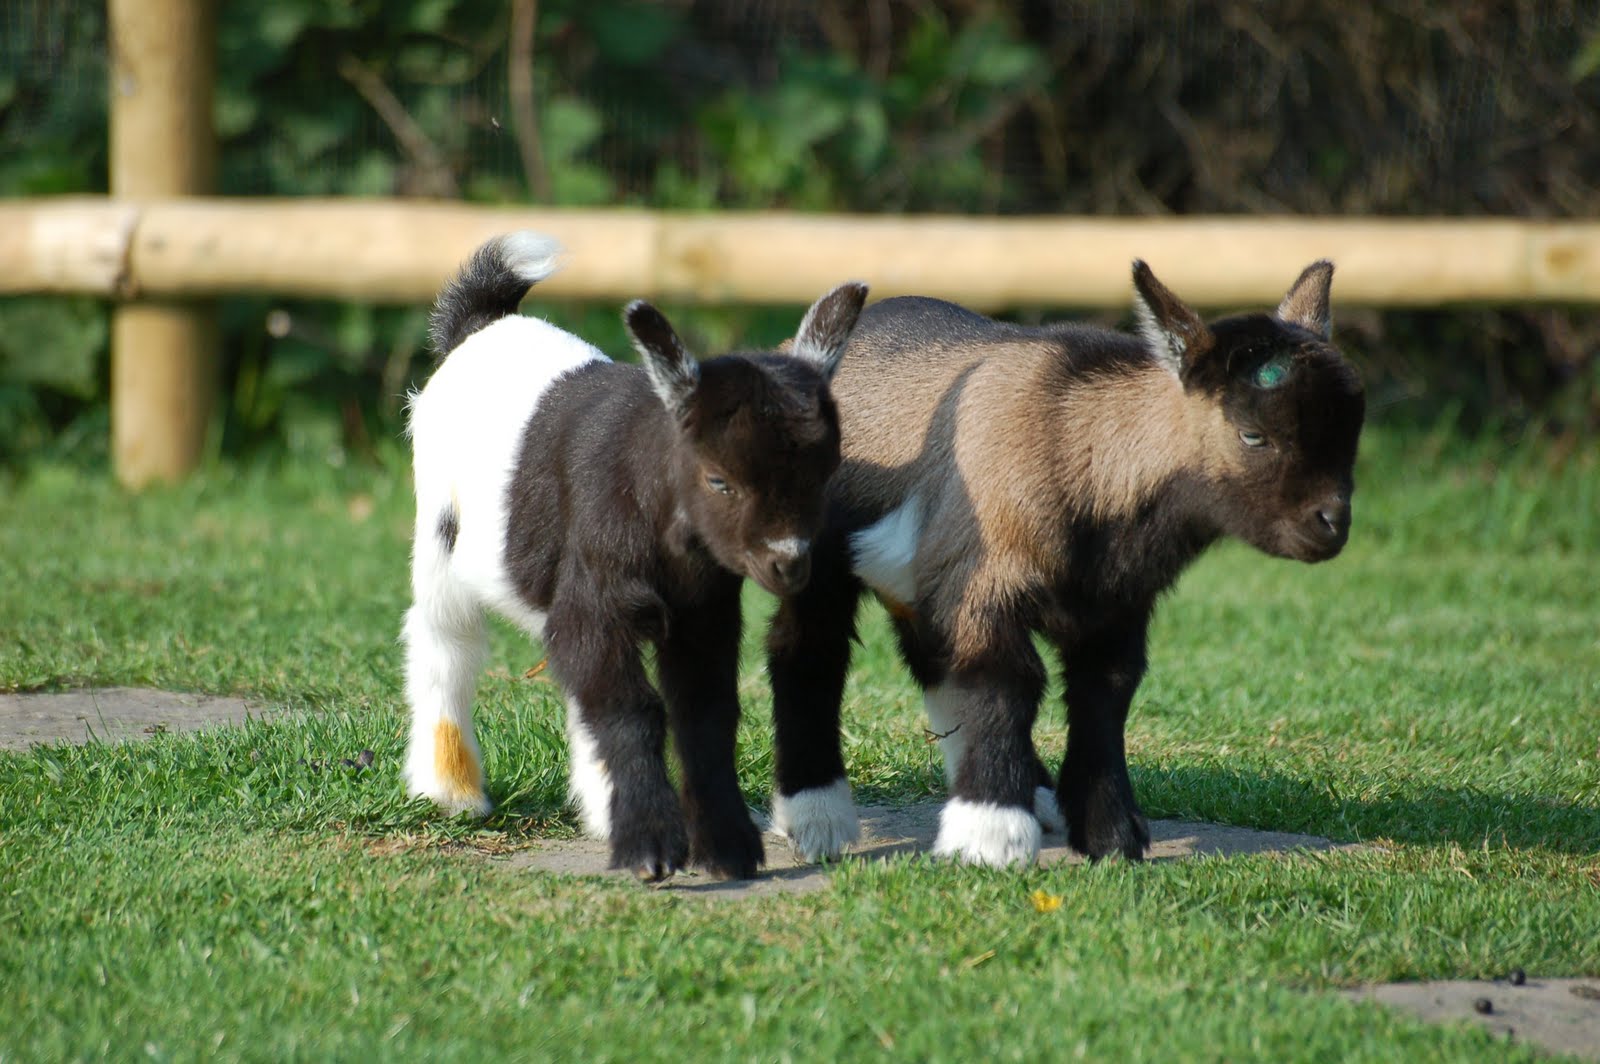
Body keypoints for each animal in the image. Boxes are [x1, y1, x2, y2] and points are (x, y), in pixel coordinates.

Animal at [406, 230, 870, 876]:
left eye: (825, 471)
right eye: (718, 480)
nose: (789, 561)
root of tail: (481, 325)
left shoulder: (704, 616)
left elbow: (704, 713)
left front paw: (726, 846)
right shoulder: (595, 596)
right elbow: (632, 708)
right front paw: (650, 847)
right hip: (439, 534)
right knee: (445, 644)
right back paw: (451, 793)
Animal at [771, 257, 1363, 864]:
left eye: (1351, 434)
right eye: (1253, 435)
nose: (1331, 526)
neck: (1077, 449)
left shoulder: (1115, 603)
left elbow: (1106, 691)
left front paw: (1111, 835)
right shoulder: (985, 579)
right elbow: (1008, 679)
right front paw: (992, 837)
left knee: (933, 662)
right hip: (813, 556)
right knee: (809, 650)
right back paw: (818, 820)